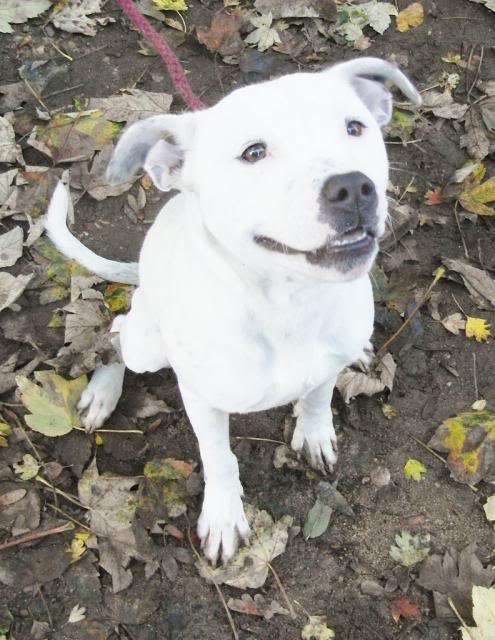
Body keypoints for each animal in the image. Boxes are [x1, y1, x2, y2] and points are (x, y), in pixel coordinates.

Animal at [44, 56, 420, 564]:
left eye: (354, 127)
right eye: (253, 152)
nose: (353, 187)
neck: (288, 306)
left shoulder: (325, 365)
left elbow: (317, 397)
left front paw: (315, 431)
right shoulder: (203, 401)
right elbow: (219, 458)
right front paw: (224, 515)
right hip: (147, 341)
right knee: (120, 330)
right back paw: (103, 391)